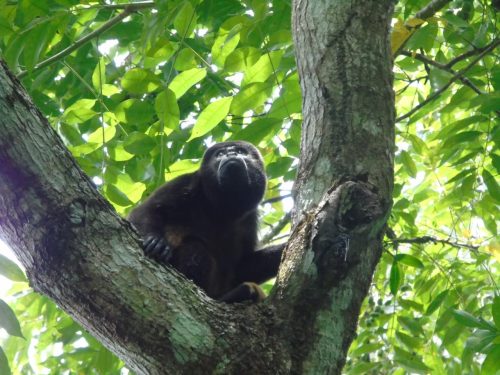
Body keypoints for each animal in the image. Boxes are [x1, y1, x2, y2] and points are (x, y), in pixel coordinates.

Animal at [128, 141, 286, 302]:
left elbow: (242, 266)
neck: (222, 209)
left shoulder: (250, 219)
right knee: (195, 247)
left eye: (241, 151)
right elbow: (146, 210)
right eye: (220, 154)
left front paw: (283, 249)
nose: (231, 154)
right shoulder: (186, 183)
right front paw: (155, 240)